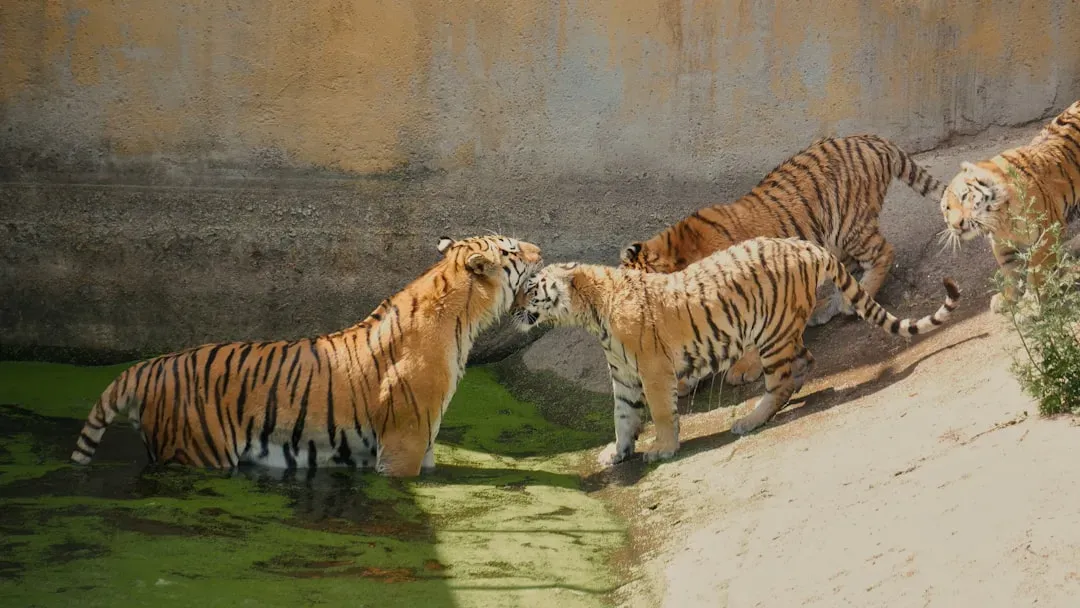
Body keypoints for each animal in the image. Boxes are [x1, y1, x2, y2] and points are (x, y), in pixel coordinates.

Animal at [70, 235, 543, 477]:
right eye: (512, 249)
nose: (540, 250)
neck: (464, 315)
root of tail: (148, 366)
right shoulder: (405, 442)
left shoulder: (423, 442)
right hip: (197, 451)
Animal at [513, 237, 960, 466]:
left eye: (530, 288)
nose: (512, 309)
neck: (590, 314)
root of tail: (806, 246)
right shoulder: (623, 376)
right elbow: (623, 417)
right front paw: (617, 452)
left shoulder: (653, 371)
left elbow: (661, 413)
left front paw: (662, 449)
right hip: (782, 332)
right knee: (804, 363)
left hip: (771, 334)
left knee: (780, 381)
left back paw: (750, 420)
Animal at [620, 134, 945, 392]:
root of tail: (870, 139)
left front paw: (742, 369)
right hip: (833, 242)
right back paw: (828, 307)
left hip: (849, 227)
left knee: (883, 252)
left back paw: (849, 304)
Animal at [939, 99, 1080, 315]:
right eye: (946, 209)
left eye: (964, 196)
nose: (956, 225)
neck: (1001, 220)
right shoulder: (1001, 243)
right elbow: (1009, 270)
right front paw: (1007, 299)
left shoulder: (1046, 233)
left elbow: (1036, 272)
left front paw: (1030, 307)